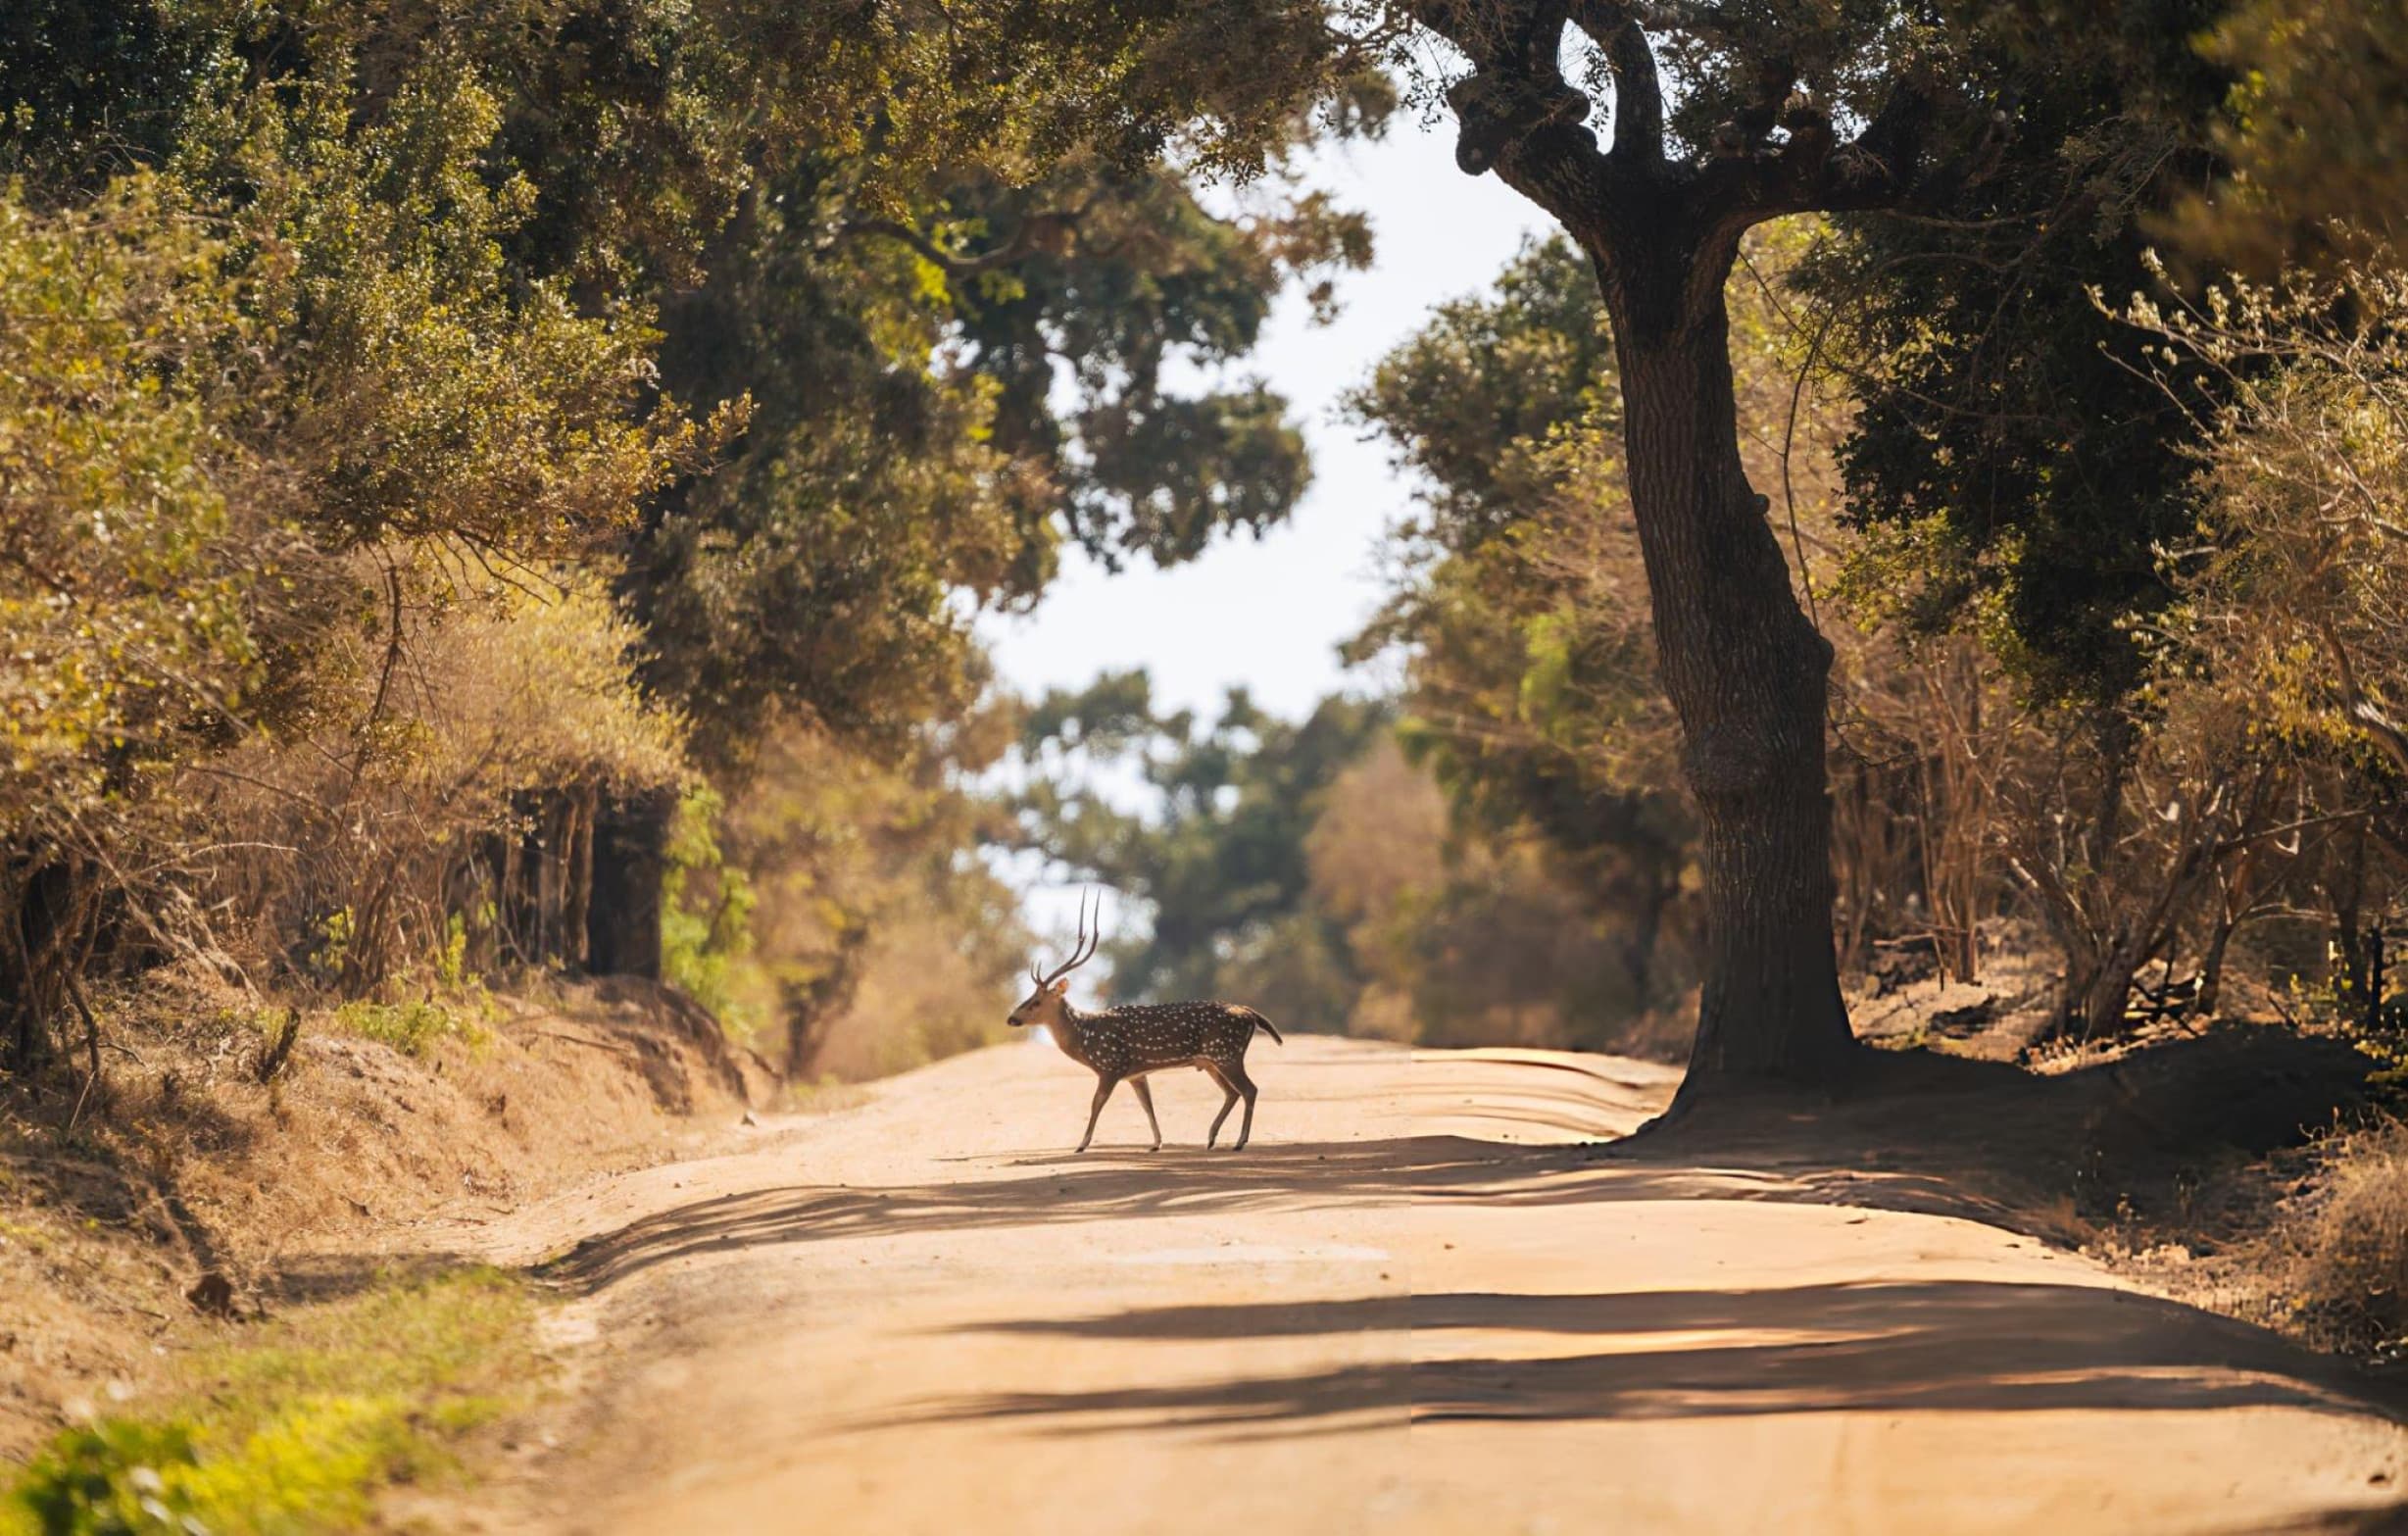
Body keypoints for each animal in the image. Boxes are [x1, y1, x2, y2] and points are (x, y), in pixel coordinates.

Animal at [1007, 892, 1283, 1153]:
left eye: (1035, 1002)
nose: (1011, 1018)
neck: (1085, 1039)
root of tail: (1250, 1013)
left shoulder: (1111, 1066)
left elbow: (1096, 1103)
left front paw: (1081, 1144)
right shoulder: (1136, 1074)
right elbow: (1147, 1105)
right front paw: (1157, 1143)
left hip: (1227, 1053)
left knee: (1249, 1089)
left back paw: (1239, 1141)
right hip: (1213, 1060)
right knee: (1232, 1092)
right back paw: (1212, 1137)